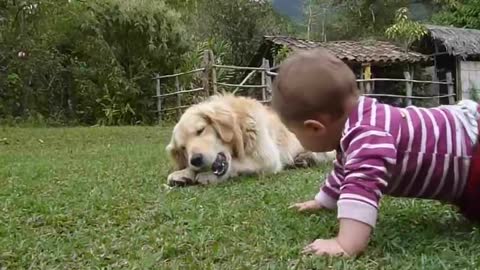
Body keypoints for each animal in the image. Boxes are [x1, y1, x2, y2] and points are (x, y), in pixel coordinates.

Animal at [165, 93, 334, 186]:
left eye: (200, 130)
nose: (196, 159)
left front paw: (206, 175)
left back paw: (307, 158)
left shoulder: (267, 158)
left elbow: (236, 165)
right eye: (183, 148)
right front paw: (183, 173)